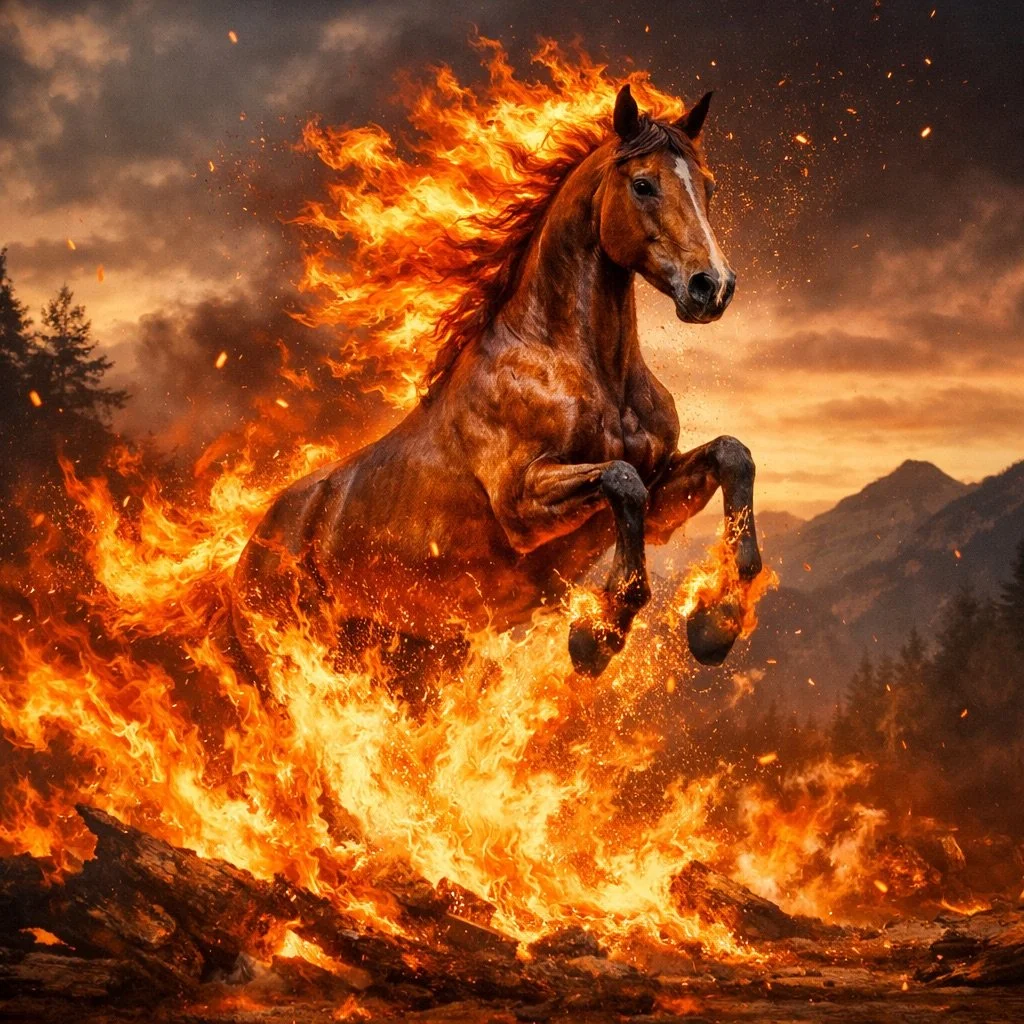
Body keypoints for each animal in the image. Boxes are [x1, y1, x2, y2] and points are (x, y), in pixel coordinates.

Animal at [231, 84, 762, 696]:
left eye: (708, 187)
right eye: (643, 184)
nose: (712, 287)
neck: (582, 370)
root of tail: (246, 557)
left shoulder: (659, 500)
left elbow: (732, 455)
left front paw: (714, 625)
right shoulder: (522, 504)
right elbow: (620, 479)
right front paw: (594, 641)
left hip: (418, 657)